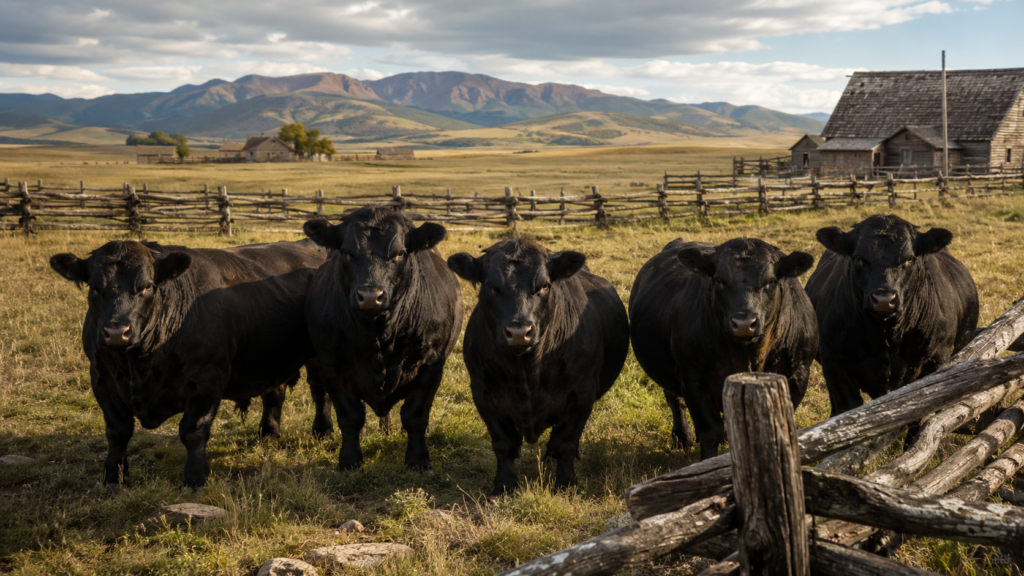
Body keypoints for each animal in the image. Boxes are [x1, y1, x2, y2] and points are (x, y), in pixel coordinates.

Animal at [49, 239, 332, 491]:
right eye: (94, 287)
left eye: (147, 286)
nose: (117, 332)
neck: (138, 365)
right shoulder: (101, 380)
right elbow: (117, 432)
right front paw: (113, 478)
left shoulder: (207, 381)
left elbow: (193, 432)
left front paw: (195, 479)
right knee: (274, 393)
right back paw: (268, 432)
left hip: (319, 356)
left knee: (320, 392)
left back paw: (323, 431)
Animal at [302, 207, 463, 473]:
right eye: (346, 252)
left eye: (399, 253)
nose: (369, 296)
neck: (379, 337)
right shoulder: (330, 365)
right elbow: (350, 415)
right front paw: (349, 460)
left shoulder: (431, 365)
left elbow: (415, 415)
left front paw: (419, 460)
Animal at [447, 238, 629, 495]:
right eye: (491, 286)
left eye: (544, 285)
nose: (518, 332)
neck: (526, 371)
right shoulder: (482, 393)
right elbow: (503, 444)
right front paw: (504, 486)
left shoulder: (582, 394)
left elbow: (566, 443)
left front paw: (565, 484)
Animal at [629, 238, 818, 461]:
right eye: (719, 280)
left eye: (771, 281)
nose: (744, 323)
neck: (749, 355)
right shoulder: (692, 378)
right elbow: (709, 432)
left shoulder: (798, 373)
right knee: (675, 401)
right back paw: (682, 438)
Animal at [805, 214, 978, 416]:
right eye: (858, 258)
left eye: (909, 259)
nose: (883, 299)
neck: (885, 339)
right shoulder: (833, 362)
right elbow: (849, 407)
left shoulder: (937, 358)